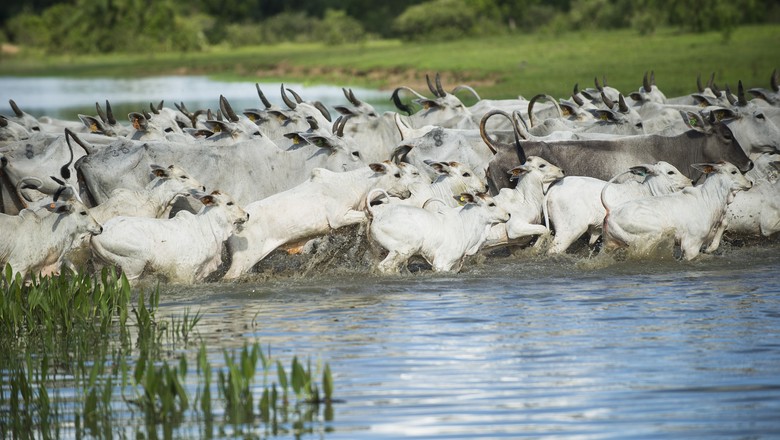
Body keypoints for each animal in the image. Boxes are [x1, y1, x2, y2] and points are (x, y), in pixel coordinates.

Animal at [92, 191, 248, 284]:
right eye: (229, 203)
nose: (247, 215)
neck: (206, 227)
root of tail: (98, 234)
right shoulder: (182, 272)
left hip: (102, 266)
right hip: (134, 267)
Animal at [368, 193, 508, 274]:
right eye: (491, 204)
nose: (508, 215)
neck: (465, 223)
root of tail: (378, 214)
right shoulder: (441, 264)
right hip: (405, 249)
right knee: (383, 266)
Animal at [600, 161, 752, 260]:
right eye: (733, 171)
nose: (750, 182)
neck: (709, 199)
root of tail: (611, 211)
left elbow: (724, 224)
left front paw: (710, 248)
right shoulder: (691, 245)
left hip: (609, 245)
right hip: (649, 237)